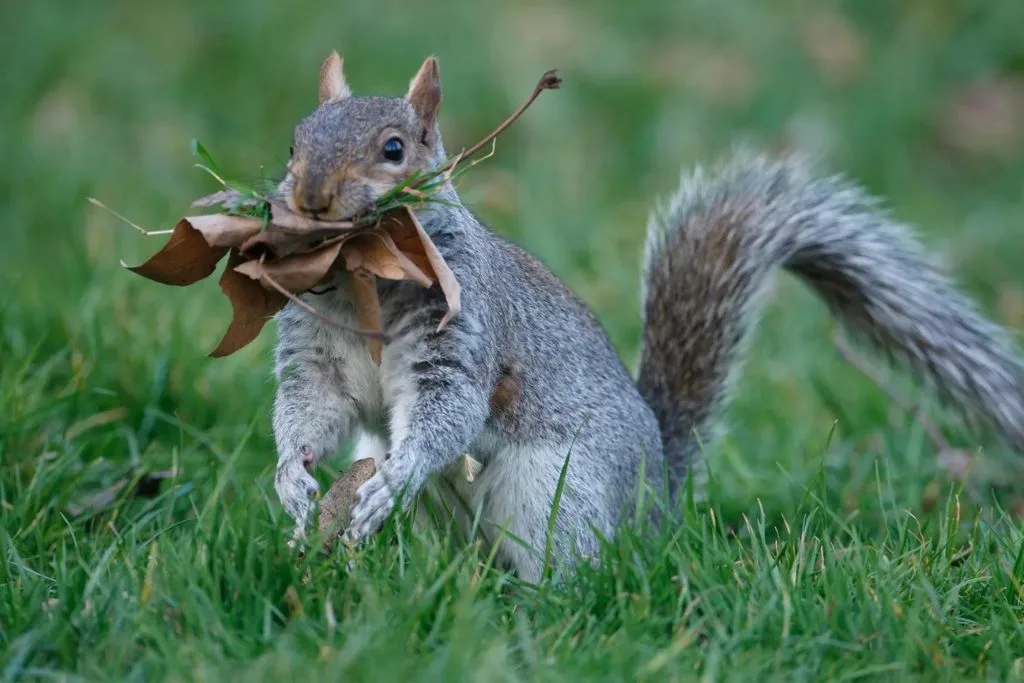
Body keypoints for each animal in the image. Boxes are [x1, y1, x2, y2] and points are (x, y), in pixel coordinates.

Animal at [270, 52, 1024, 581]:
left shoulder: (463, 333)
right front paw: (292, 480)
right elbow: (312, 410)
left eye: (394, 149)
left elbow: (446, 414)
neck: (366, 282)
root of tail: (657, 498)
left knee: (568, 565)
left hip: (561, 494)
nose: (311, 197)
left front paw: (396, 476)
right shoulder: (315, 356)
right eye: (293, 143)